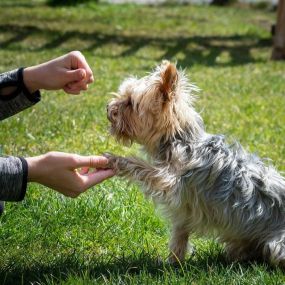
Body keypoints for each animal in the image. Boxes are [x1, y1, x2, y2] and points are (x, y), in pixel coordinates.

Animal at [105, 60, 284, 266]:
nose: (108, 108)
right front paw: (173, 263)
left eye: (129, 103)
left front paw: (115, 160)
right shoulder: (184, 209)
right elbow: (179, 235)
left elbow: (142, 167)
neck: (180, 140)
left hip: (277, 245)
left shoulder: (170, 180)